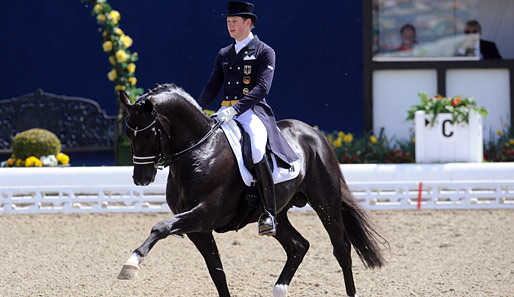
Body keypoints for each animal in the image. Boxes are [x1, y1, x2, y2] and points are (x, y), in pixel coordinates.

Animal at [116, 84, 384, 296]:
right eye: (128, 133)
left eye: (149, 133)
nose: (141, 179)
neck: (199, 151)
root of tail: (313, 132)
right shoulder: (199, 230)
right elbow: (217, 271)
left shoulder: (203, 215)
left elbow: (160, 227)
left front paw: (131, 264)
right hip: (276, 213)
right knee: (298, 246)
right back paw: (279, 289)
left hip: (325, 202)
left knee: (341, 248)